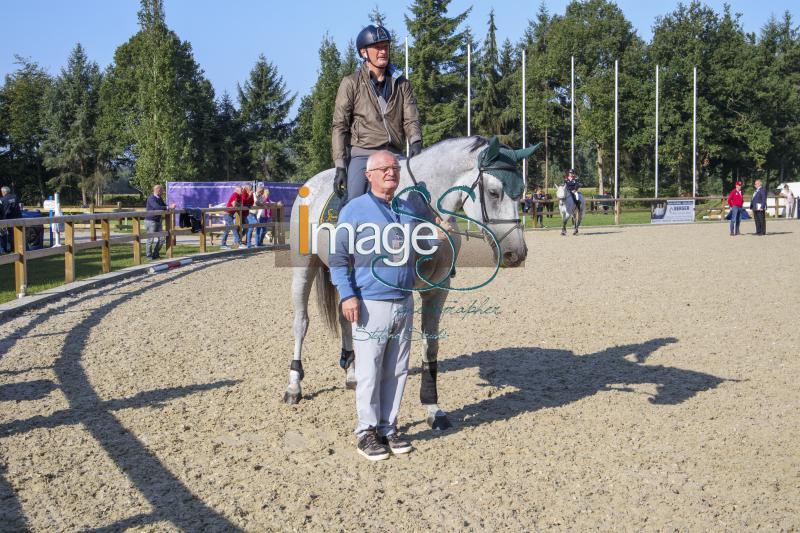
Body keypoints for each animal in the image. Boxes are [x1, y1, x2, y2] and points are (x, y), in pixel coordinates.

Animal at [284, 136, 536, 428]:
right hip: (303, 267)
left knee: (345, 317)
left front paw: (433, 408)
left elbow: (430, 344)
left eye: (521, 193)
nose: (516, 254)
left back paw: (352, 374)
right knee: (301, 323)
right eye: (494, 192)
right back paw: (294, 386)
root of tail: (311, 183)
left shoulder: (437, 290)